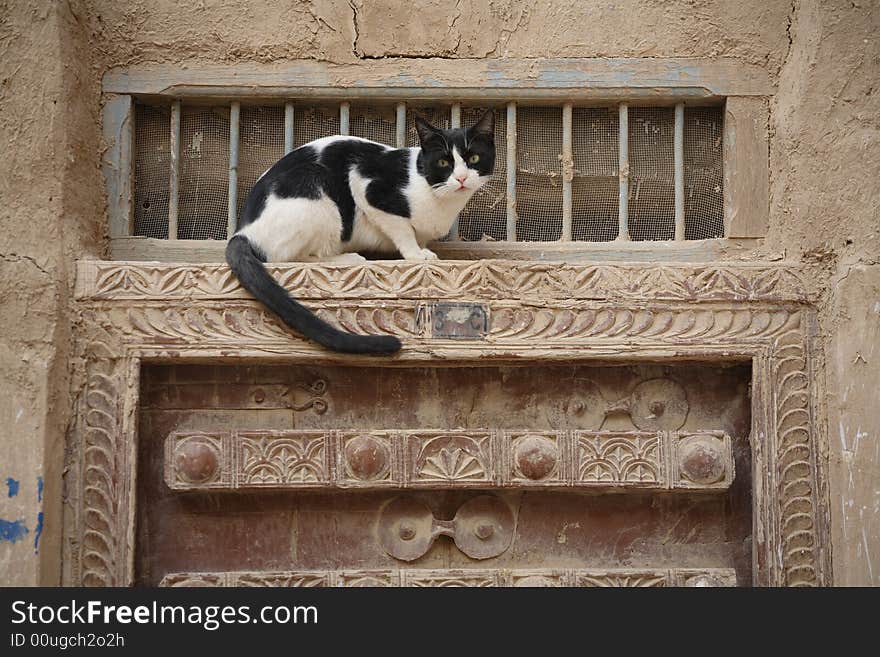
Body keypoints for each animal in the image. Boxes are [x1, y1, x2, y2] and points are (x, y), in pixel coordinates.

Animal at [227, 109, 496, 354]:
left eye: (473, 159)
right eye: (443, 162)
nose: (461, 178)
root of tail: (242, 232)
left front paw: (421, 248)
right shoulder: (367, 186)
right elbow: (402, 230)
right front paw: (416, 254)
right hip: (316, 188)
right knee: (286, 257)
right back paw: (346, 258)